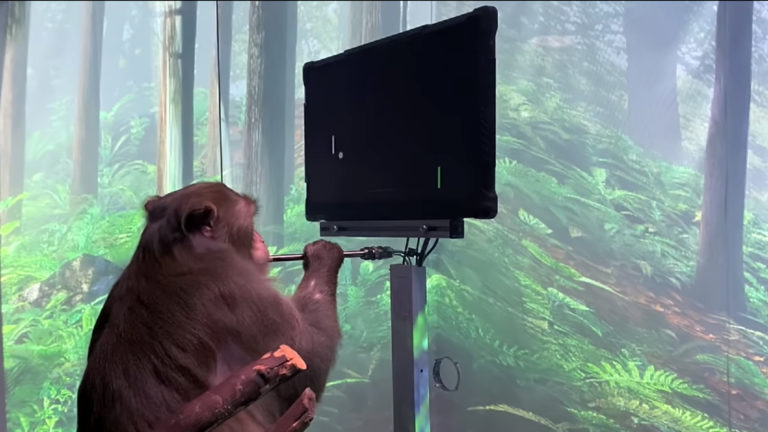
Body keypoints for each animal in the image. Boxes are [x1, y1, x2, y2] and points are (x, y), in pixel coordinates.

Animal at [76, 182, 344, 431]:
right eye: (251, 221)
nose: (261, 239)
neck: (175, 251)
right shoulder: (239, 287)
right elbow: (309, 360)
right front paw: (323, 256)